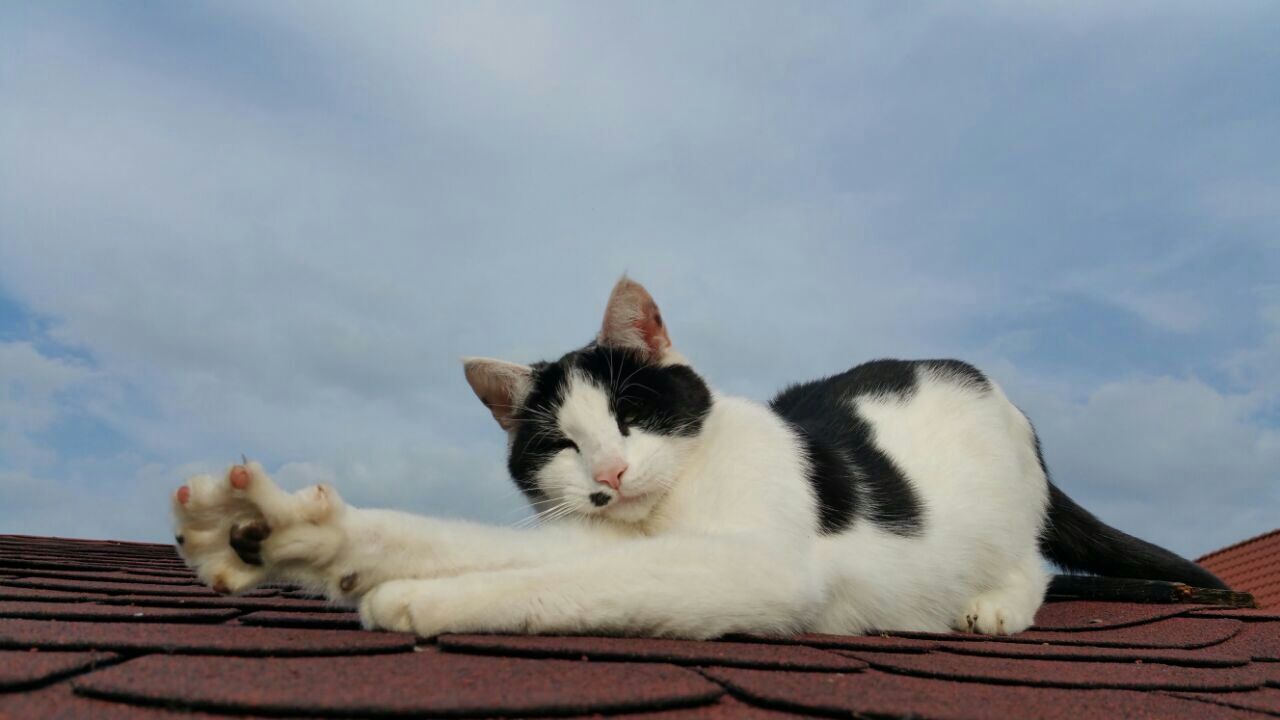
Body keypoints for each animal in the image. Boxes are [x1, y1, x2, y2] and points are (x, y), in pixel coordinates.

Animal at [167, 274, 1218, 632]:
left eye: (630, 417)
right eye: (561, 444)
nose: (609, 475)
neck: (671, 504)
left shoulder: (758, 569)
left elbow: (581, 584)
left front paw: (422, 603)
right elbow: (460, 540)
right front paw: (275, 534)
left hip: (1005, 510)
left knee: (1036, 562)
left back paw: (995, 603)